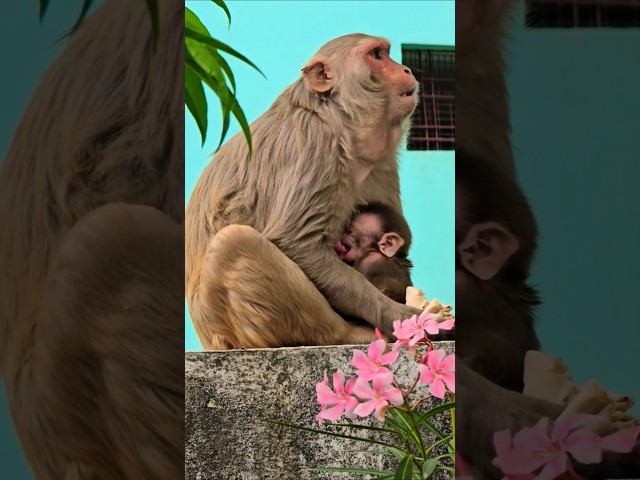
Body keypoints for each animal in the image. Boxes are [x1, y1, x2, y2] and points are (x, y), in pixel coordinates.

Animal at [186, 34, 422, 351]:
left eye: (387, 53)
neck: (338, 119)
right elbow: (296, 243)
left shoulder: (382, 163)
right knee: (233, 242)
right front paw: (397, 315)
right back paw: (348, 333)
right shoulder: (316, 144)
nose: (406, 69)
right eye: (377, 55)